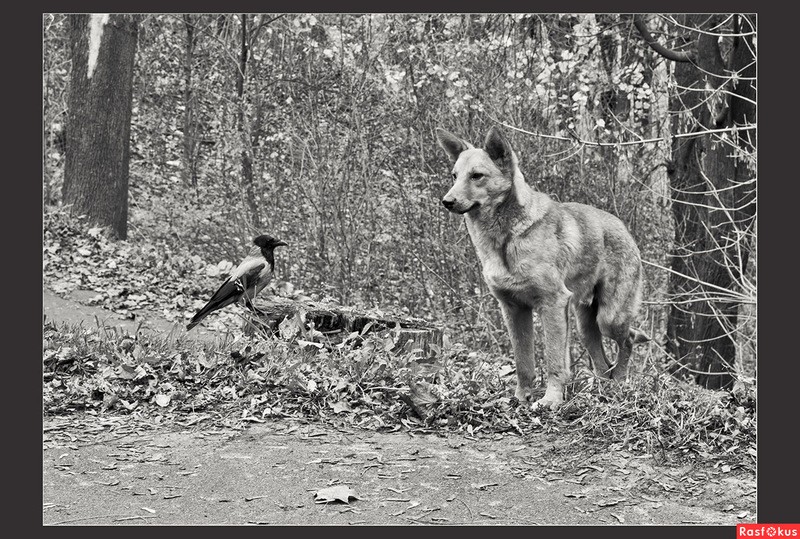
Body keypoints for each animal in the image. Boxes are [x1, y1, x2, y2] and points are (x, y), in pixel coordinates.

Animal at [434, 126, 648, 410]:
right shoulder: (514, 309)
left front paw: (551, 399)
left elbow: (554, 360)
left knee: (629, 340)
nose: (446, 201)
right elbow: (523, 362)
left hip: (609, 318)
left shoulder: (553, 303)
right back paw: (602, 391)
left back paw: (621, 381)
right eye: (454, 176)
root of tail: (623, 227)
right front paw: (521, 398)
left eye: (476, 176)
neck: (506, 239)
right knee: (603, 364)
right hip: (585, 326)